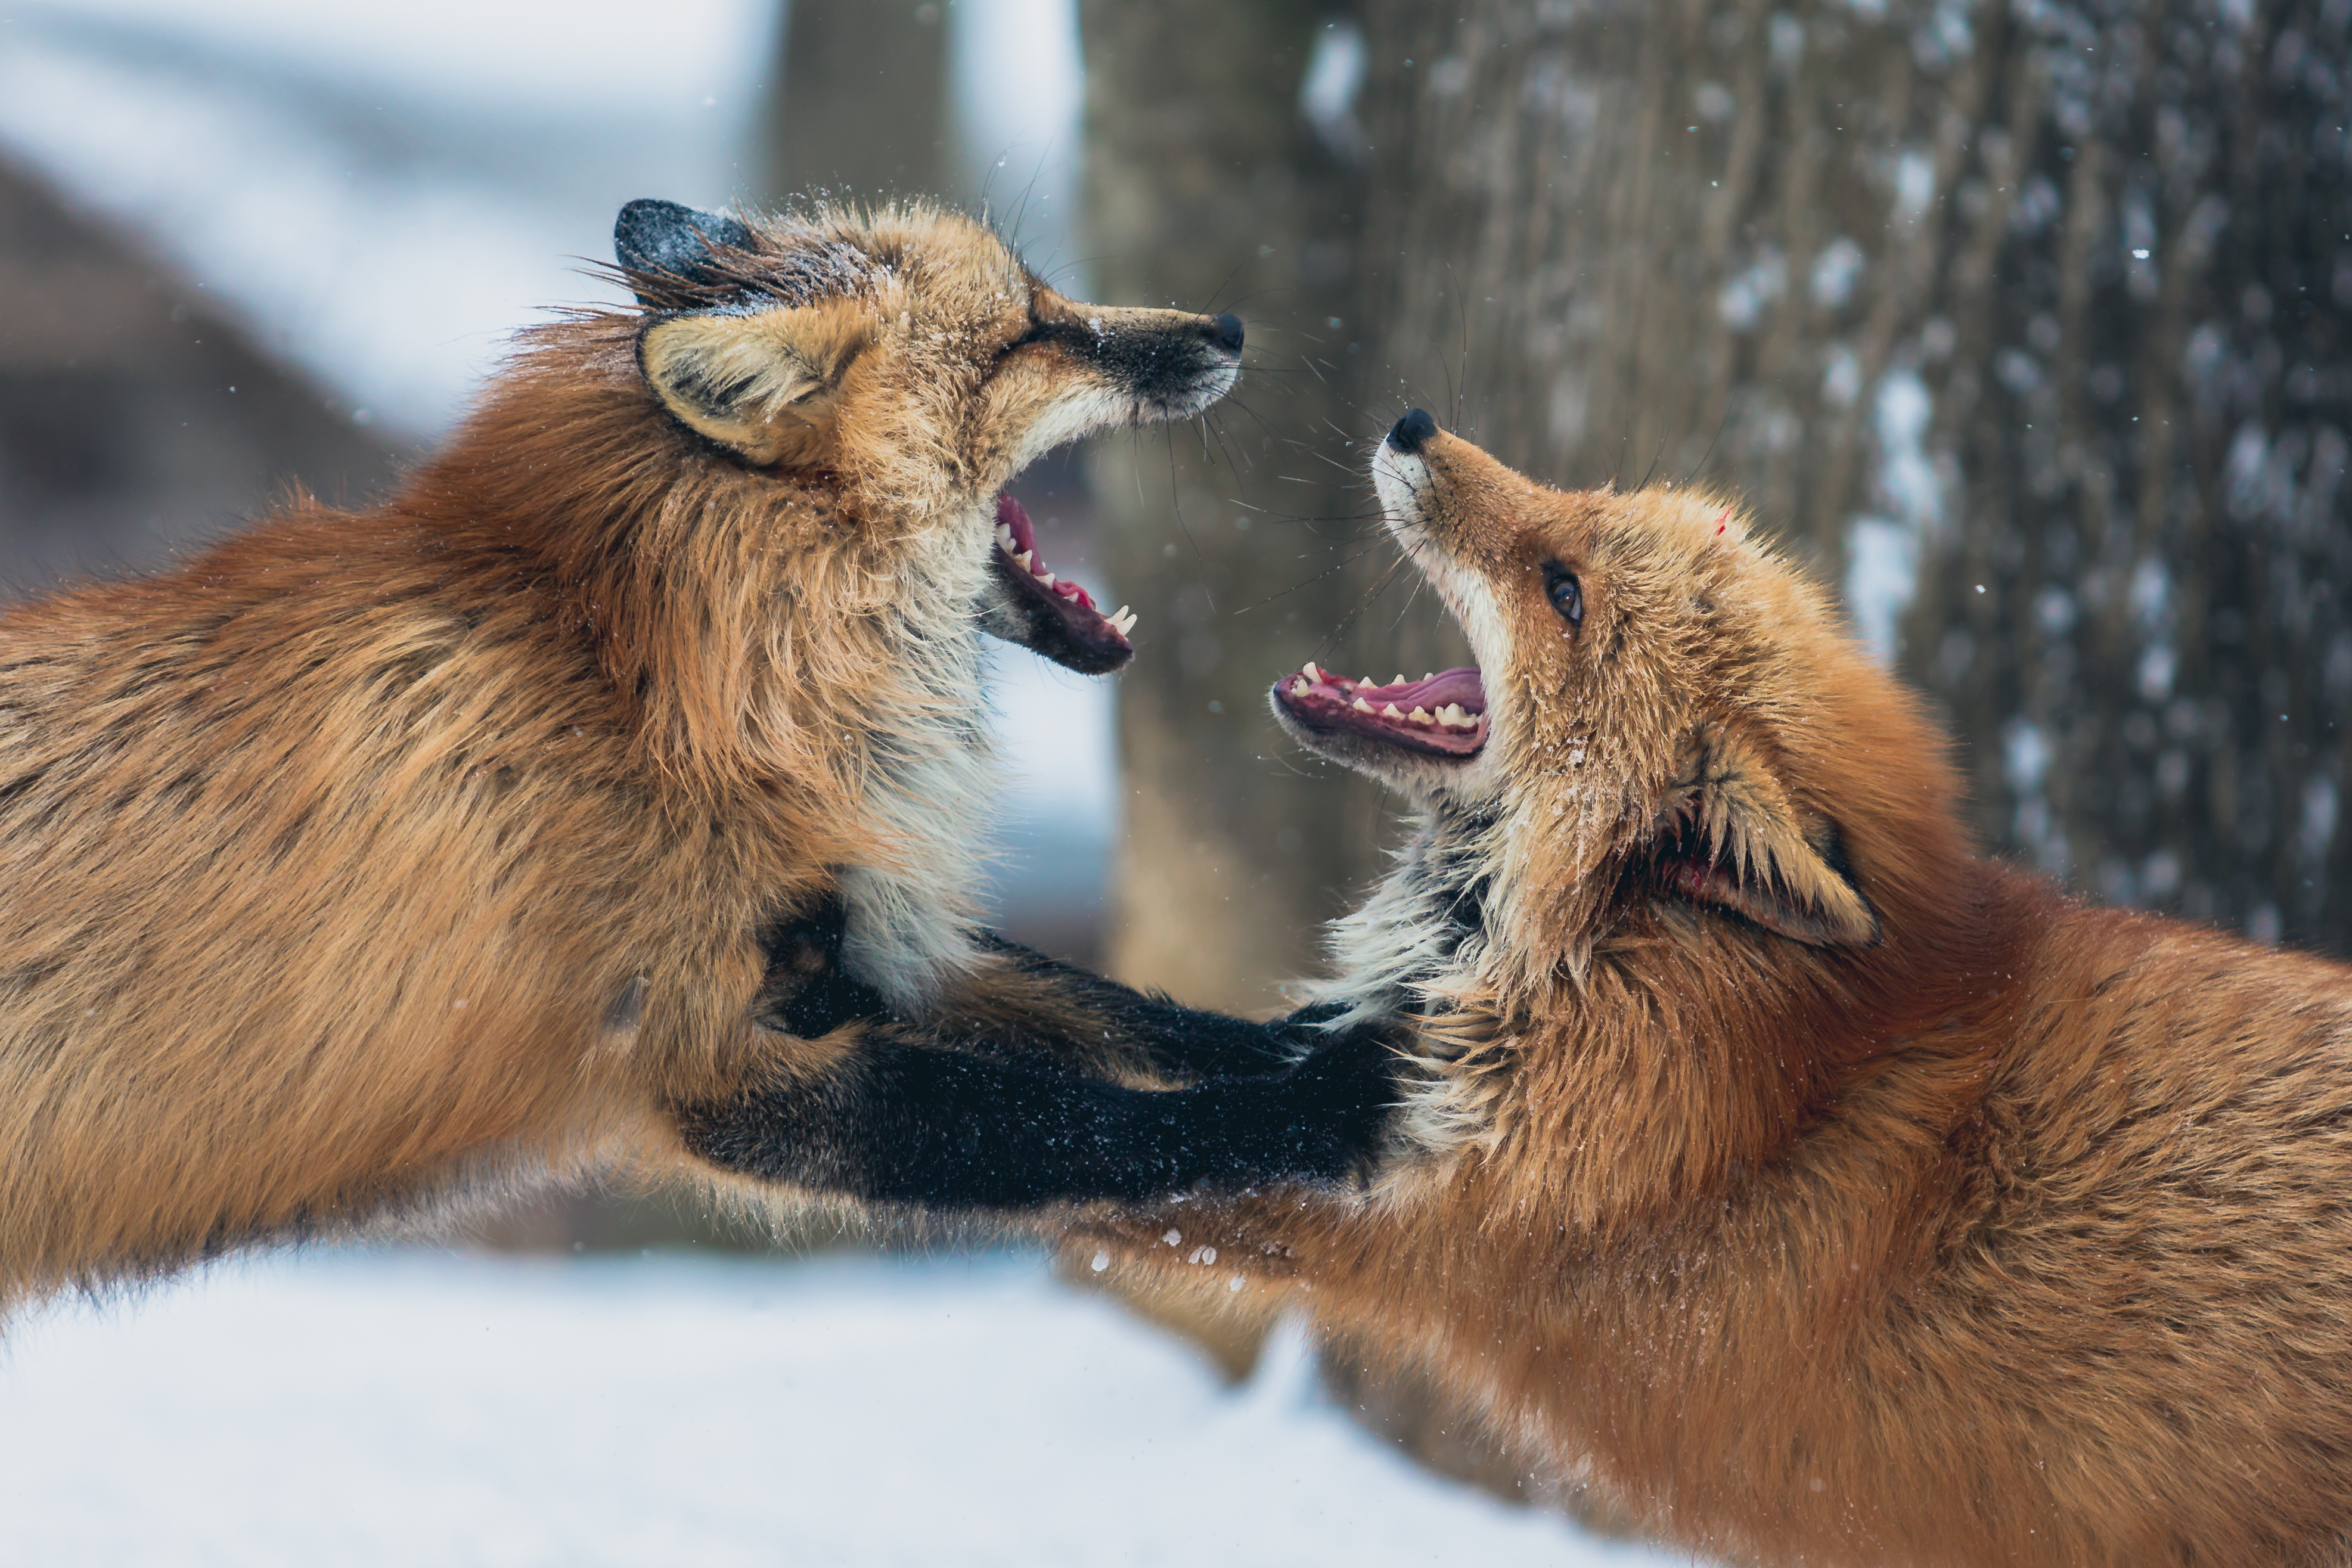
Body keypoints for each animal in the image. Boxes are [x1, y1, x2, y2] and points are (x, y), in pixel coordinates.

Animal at [0, 202, 1411, 1316]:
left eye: (1049, 298)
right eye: (1027, 333)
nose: (1227, 326)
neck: (653, 684)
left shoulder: (867, 944)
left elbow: (1127, 1015)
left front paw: (1326, 1032)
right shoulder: (720, 1059)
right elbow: (1099, 1124)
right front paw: (1336, 1101)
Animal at [757, 411, 2352, 1561]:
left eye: (1563, 590)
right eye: (1581, 512)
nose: (1410, 421)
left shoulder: (1402, 1226)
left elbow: (1053, 1143)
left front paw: (822, 1108)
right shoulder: (1360, 1066)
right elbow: (1124, 1021)